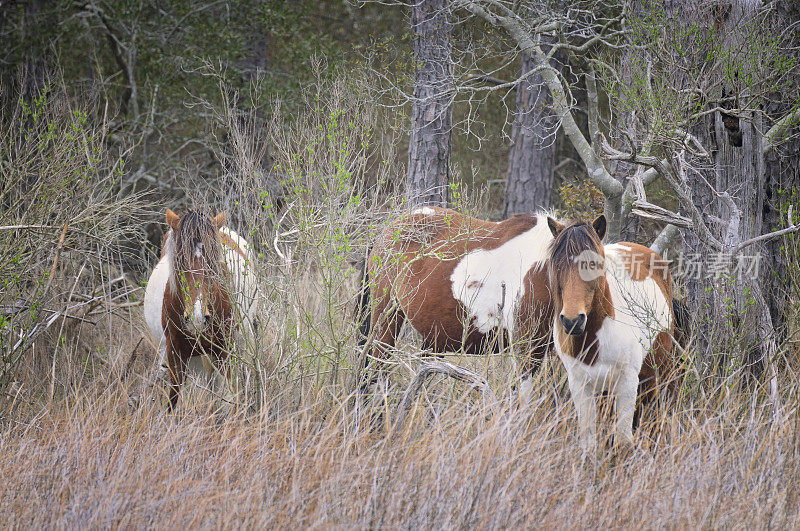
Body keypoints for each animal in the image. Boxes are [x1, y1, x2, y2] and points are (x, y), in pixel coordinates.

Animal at [142, 210, 258, 410]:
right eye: (179, 260)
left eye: (213, 262)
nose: (197, 318)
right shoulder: (174, 353)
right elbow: (173, 399)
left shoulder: (224, 351)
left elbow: (229, 398)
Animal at [548, 215, 684, 454]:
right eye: (558, 265)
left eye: (593, 264)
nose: (572, 321)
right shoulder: (580, 385)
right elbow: (589, 441)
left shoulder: (628, 382)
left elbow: (623, 443)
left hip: (658, 373)